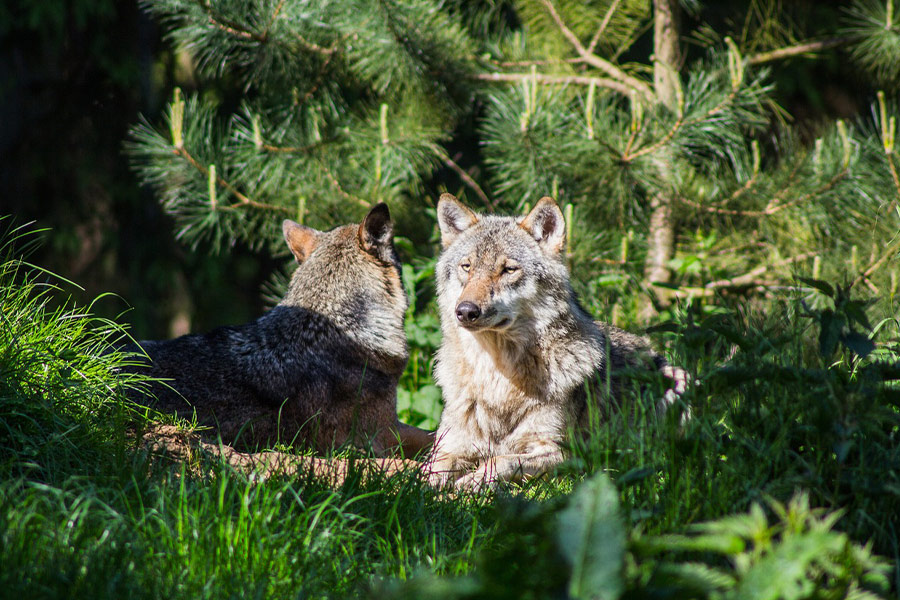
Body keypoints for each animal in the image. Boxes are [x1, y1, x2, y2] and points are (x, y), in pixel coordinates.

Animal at [428, 193, 687, 489]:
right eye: (467, 267)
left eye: (508, 269)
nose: (466, 311)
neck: (497, 378)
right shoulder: (450, 445)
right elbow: (429, 470)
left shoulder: (565, 455)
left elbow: (501, 460)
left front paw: (472, 482)